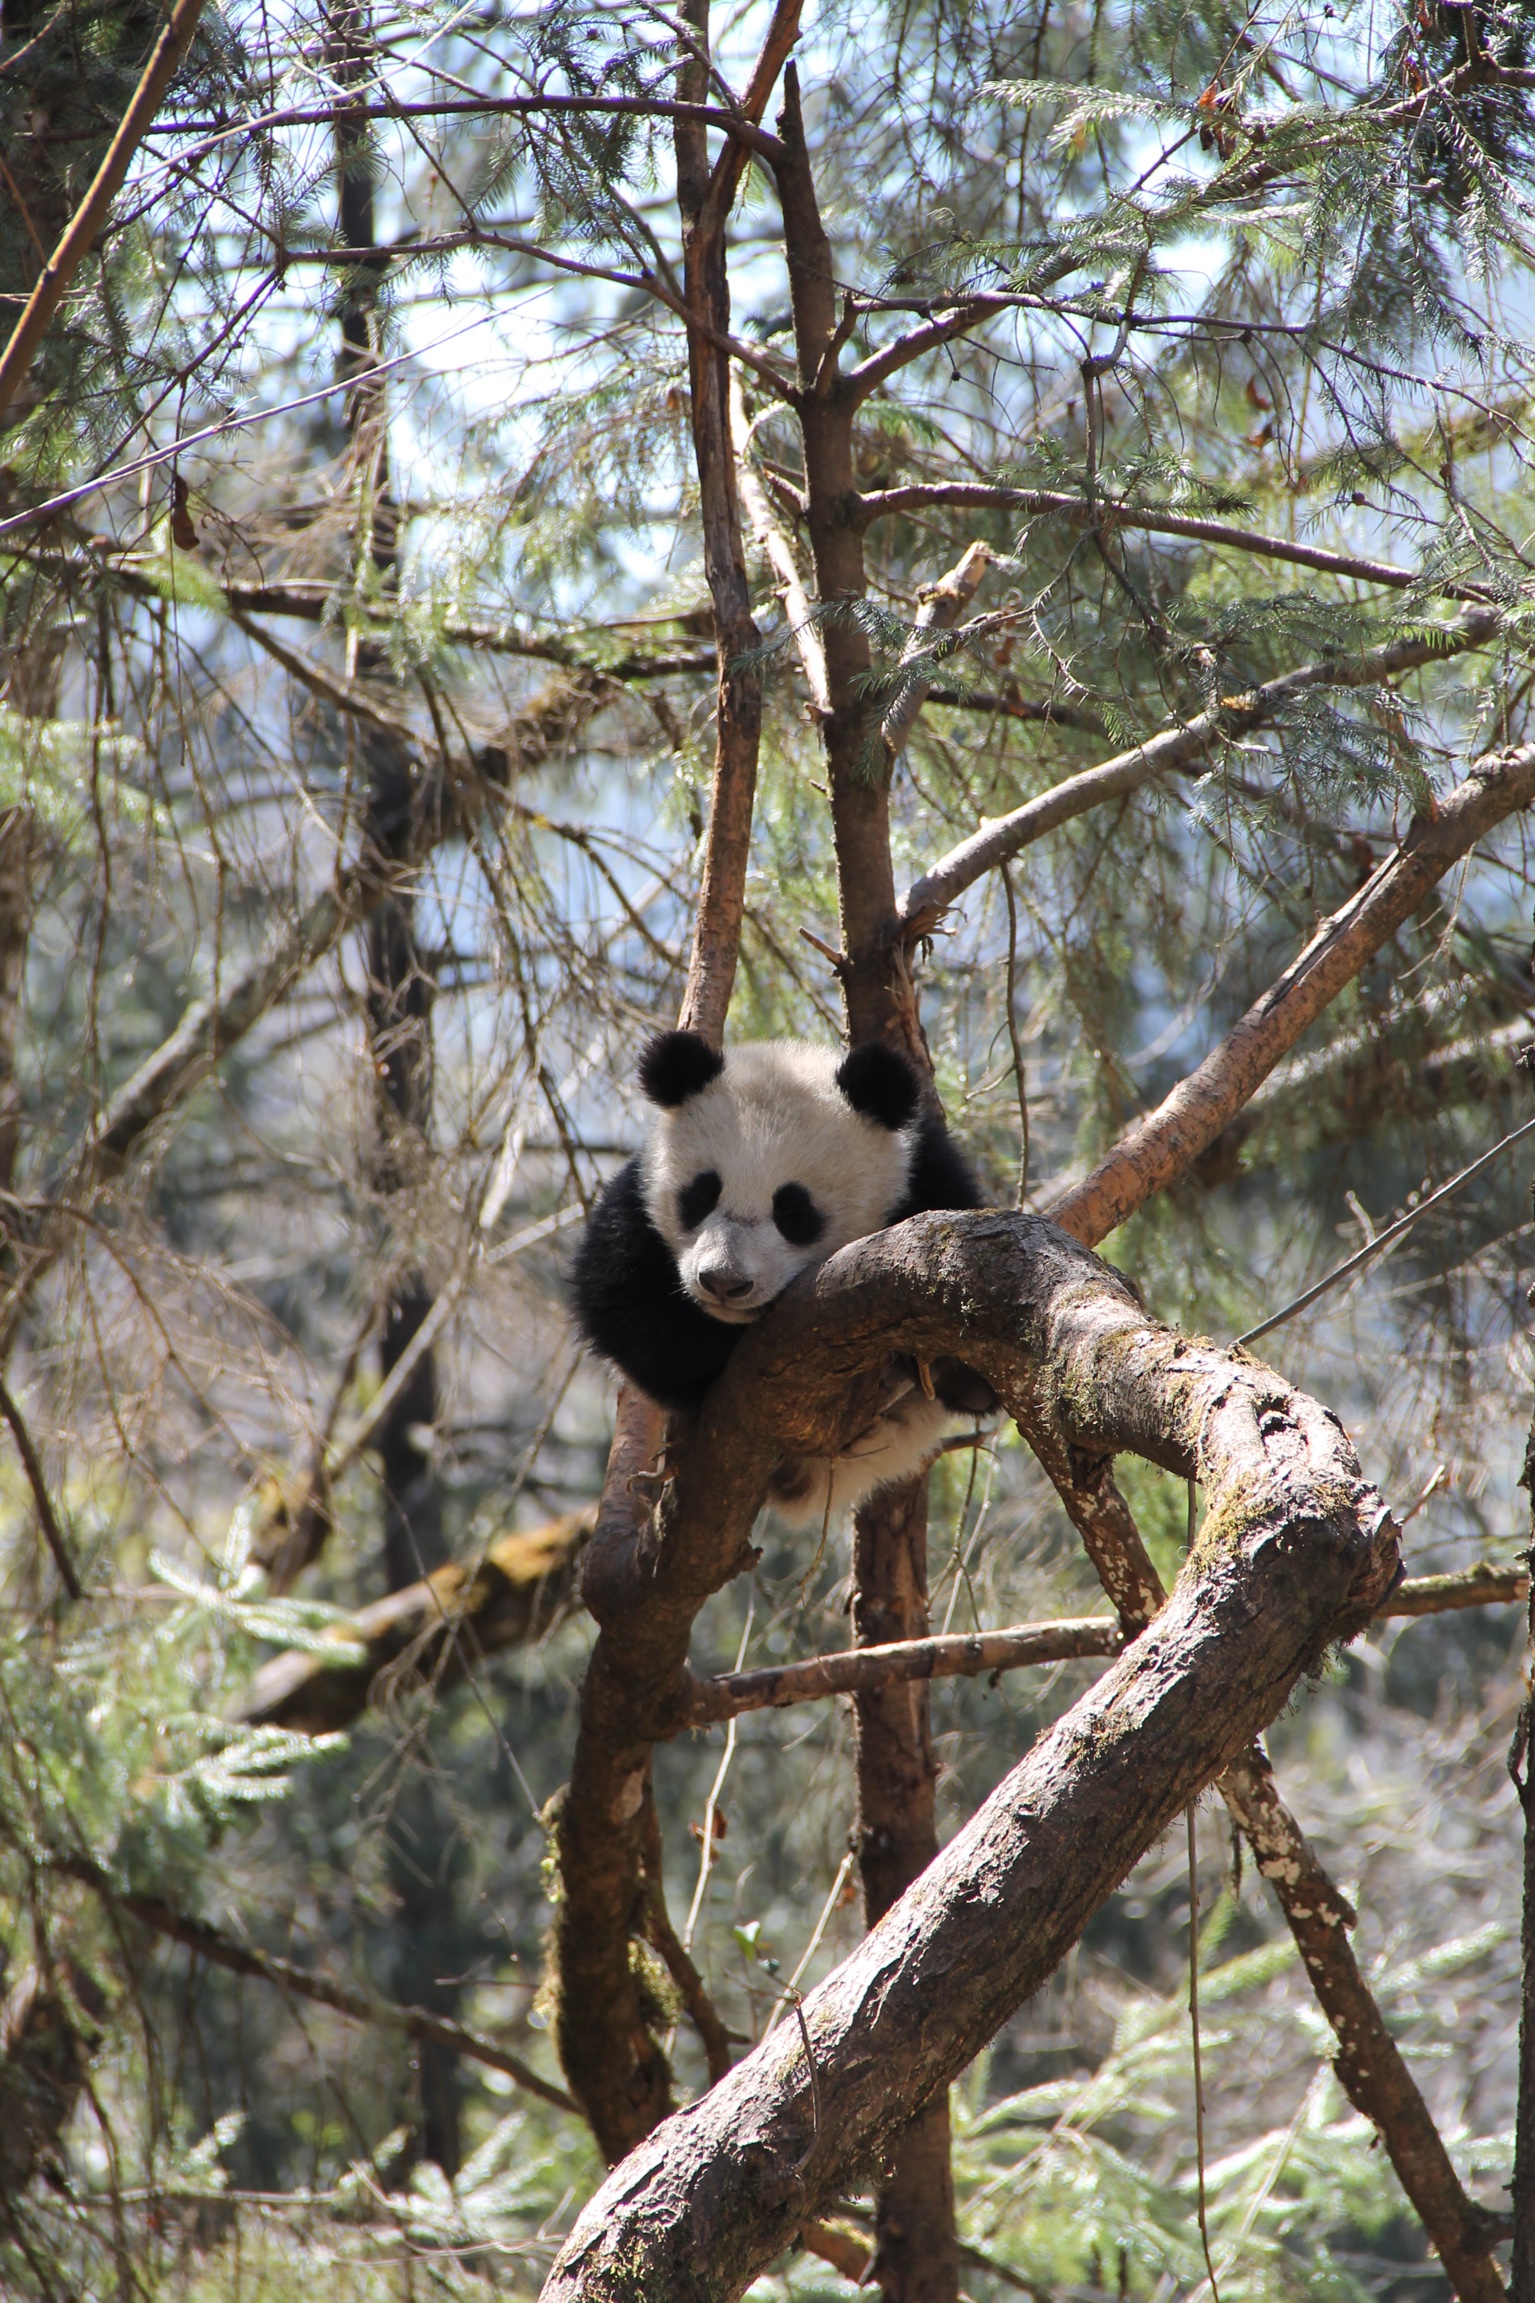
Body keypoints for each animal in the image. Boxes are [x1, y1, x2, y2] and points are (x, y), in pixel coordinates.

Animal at [570, 1036, 989, 1519]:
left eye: (792, 1209)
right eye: (702, 1194)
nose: (724, 1283)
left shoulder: (926, 1181)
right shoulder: (636, 1203)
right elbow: (621, 1305)